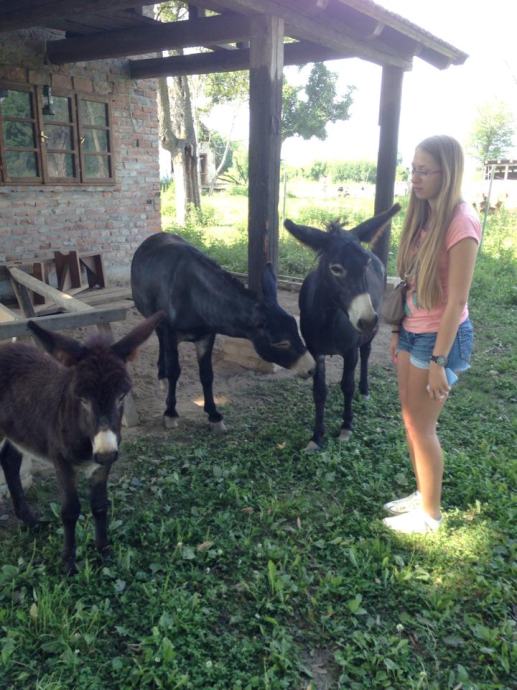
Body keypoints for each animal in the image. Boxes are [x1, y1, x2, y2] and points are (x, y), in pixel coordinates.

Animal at [0, 313, 163, 574]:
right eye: (82, 399)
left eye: (122, 396)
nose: (105, 452)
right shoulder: (61, 462)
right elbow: (70, 510)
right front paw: (68, 563)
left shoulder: (102, 466)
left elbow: (100, 505)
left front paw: (104, 552)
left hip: (19, 430)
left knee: (9, 461)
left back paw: (30, 521)